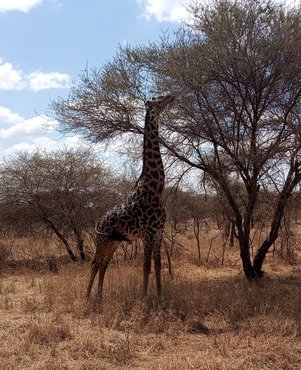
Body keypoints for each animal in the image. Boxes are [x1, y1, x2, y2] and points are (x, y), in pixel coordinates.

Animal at [84, 94, 173, 302]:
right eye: (158, 100)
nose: (171, 96)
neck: (155, 189)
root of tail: (98, 221)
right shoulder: (148, 234)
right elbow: (146, 267)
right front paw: (144, 299)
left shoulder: (159, 233)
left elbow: (158, 266)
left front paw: (160, 297)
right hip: (102, 240)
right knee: (94, 263)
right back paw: (87, 297)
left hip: (114, 242)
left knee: (104, 265)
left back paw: (100, 297)